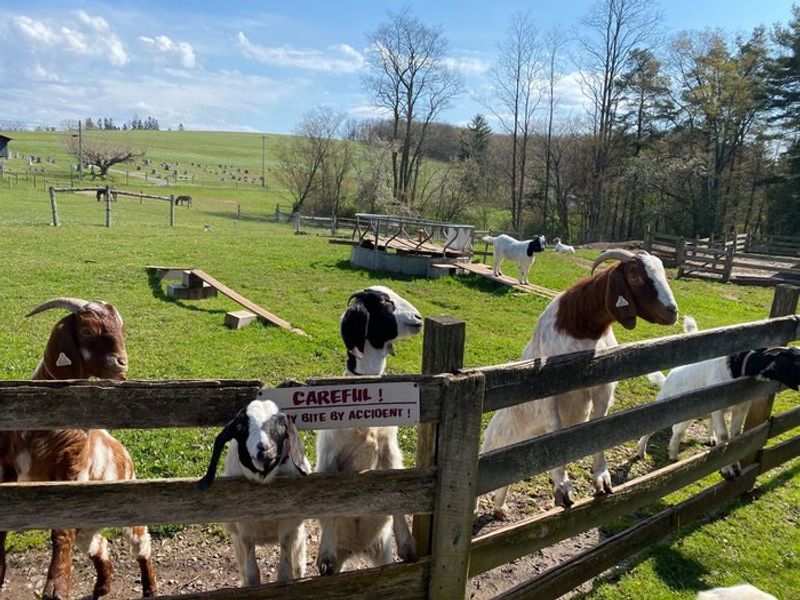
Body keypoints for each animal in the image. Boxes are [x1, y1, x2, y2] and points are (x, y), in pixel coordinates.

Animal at [0, 297, 156, 600]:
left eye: (121, 327)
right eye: (86, 331)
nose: (122, 364)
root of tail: (124, 454)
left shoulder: (72, 471)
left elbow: (60, 532)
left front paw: (56, 588)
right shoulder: (7, 467)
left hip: (130, 503)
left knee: (141, 543)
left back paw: (150, 587)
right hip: (88, 522)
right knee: (97, 544)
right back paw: (102, 586)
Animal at [197, 400, 310, 585]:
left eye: (281, 425)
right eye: (241, 426)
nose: (265, 449)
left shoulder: (288, 523)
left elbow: (285, 571)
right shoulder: (244, 527)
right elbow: (251, 574)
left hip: (299, 537)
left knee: (298, 566)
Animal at [315, 285, 422, 575]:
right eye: (385, 302)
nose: (419, 318)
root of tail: (355, 549)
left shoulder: (389, 451)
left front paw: (408, 546)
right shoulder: (329, 458)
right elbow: (329, 502)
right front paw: (325, 556)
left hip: (382, 551)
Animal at [480, 249, 678, 515]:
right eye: (635, 276)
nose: (672, 312)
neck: (583, 328)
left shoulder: (603, 388)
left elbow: (599, 429)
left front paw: (602, 479)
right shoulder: (549, 393)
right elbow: (556, 433)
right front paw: (563, 487)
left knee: (505, 484)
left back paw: (500, 509)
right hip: (493, 449)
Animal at [636, 316, 800, 478]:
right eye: (796, 362)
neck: (737, 368)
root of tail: (672, 375)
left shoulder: (741, 406)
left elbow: (736, 436)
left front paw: (735, 465)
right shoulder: (718, 405)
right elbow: (723, 435)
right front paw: (727, 469)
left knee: (681, 429)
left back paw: (682, 449)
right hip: (668, 405)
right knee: (658, 428)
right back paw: (642, 451)